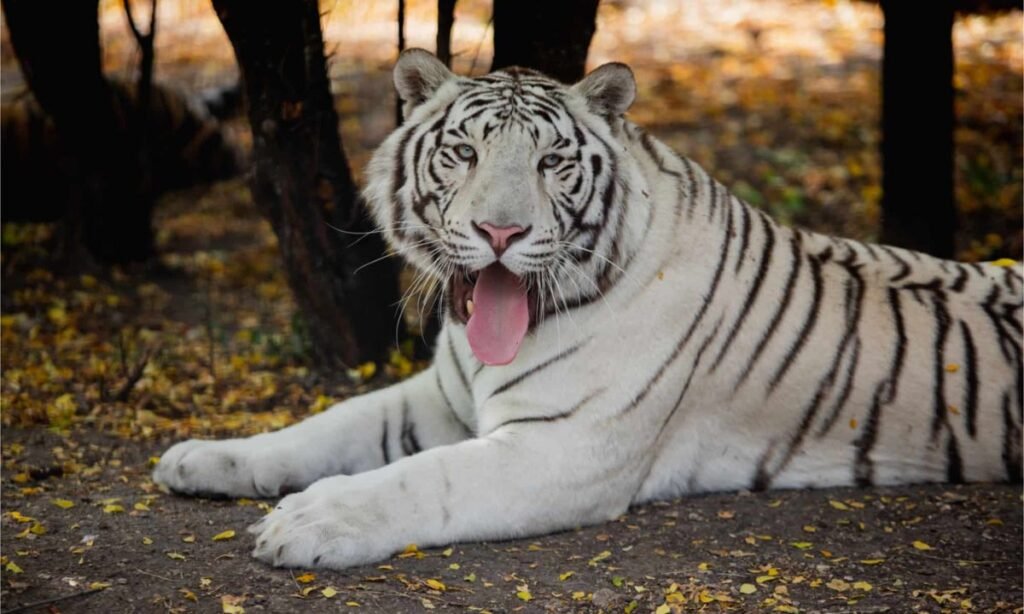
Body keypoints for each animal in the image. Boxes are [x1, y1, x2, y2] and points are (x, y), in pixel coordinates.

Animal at [154, 49, 1023, 570]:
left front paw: (307, 523)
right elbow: (321, 427)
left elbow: (421, 479)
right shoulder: (439, 398)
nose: (500, 232)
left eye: (550, 163)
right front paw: (198, 458)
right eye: (463, 152)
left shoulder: (563, 448)